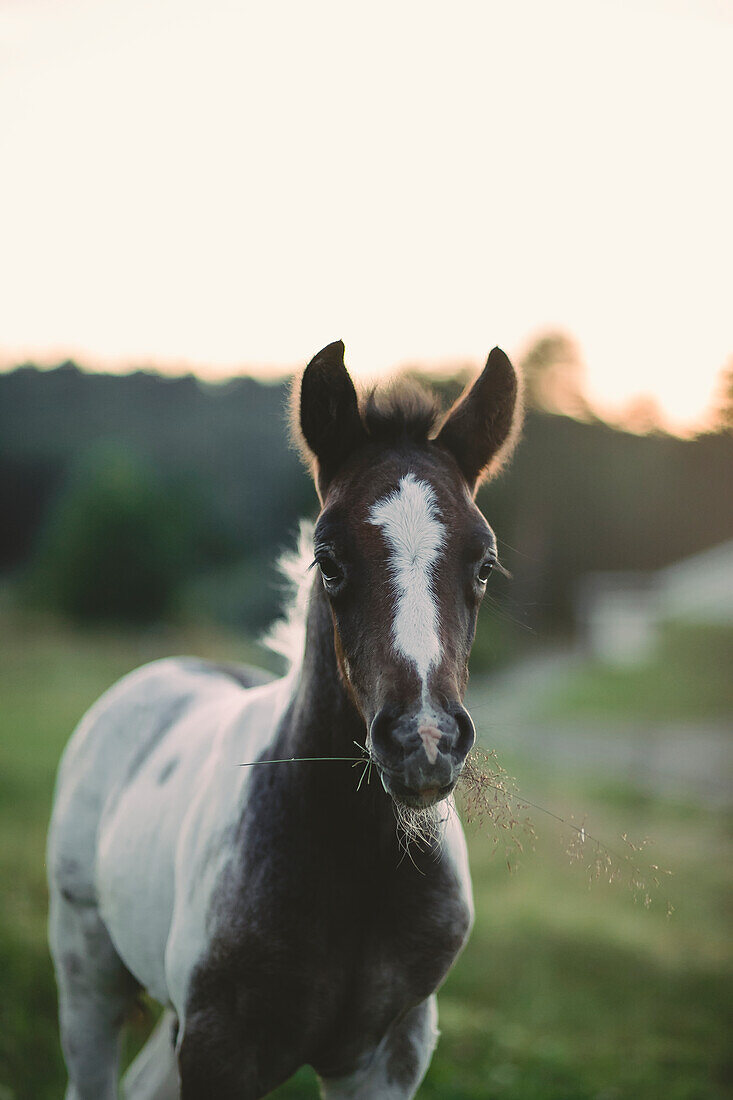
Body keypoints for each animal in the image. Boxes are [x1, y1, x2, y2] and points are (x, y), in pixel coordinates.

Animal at [47, 338, 519, 1095]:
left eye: (484, 563)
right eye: (328, 561)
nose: (424, 741)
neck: (357, 866)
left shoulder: (389, 1055)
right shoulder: (219, 1051)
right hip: (86, 966)